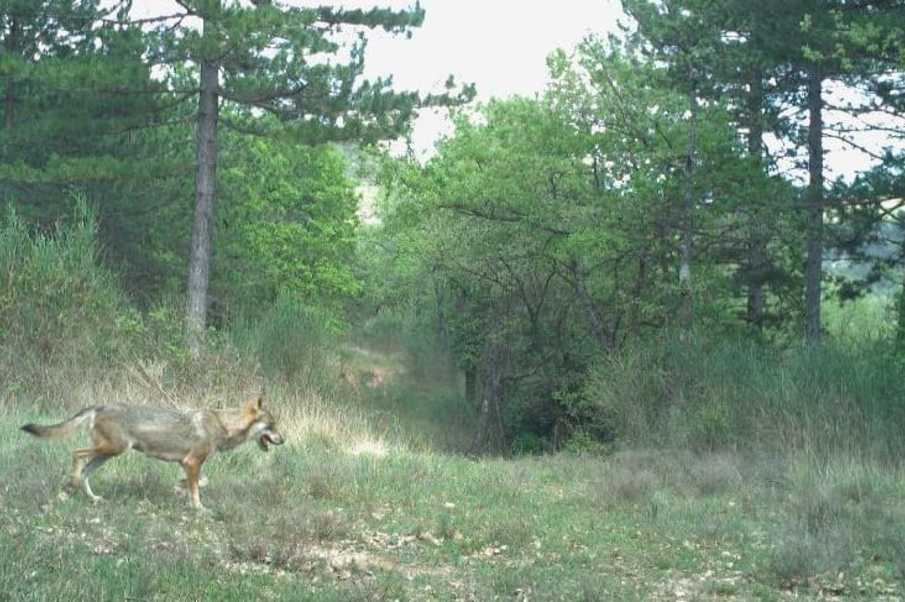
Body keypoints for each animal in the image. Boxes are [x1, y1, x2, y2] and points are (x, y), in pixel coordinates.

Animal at [21, 395, 284, 509]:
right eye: (272, 426)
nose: (283, 440)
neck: (222, 425)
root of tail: (99, 405)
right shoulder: (192, 462)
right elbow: (197, 489)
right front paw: (198, 509)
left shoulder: (187, 464)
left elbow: (199, 482)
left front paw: (180, 490)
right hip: (112, 449)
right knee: (76, 454)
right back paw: (71, 485)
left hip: (108, 454)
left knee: (85, 472)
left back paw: (92, 498)